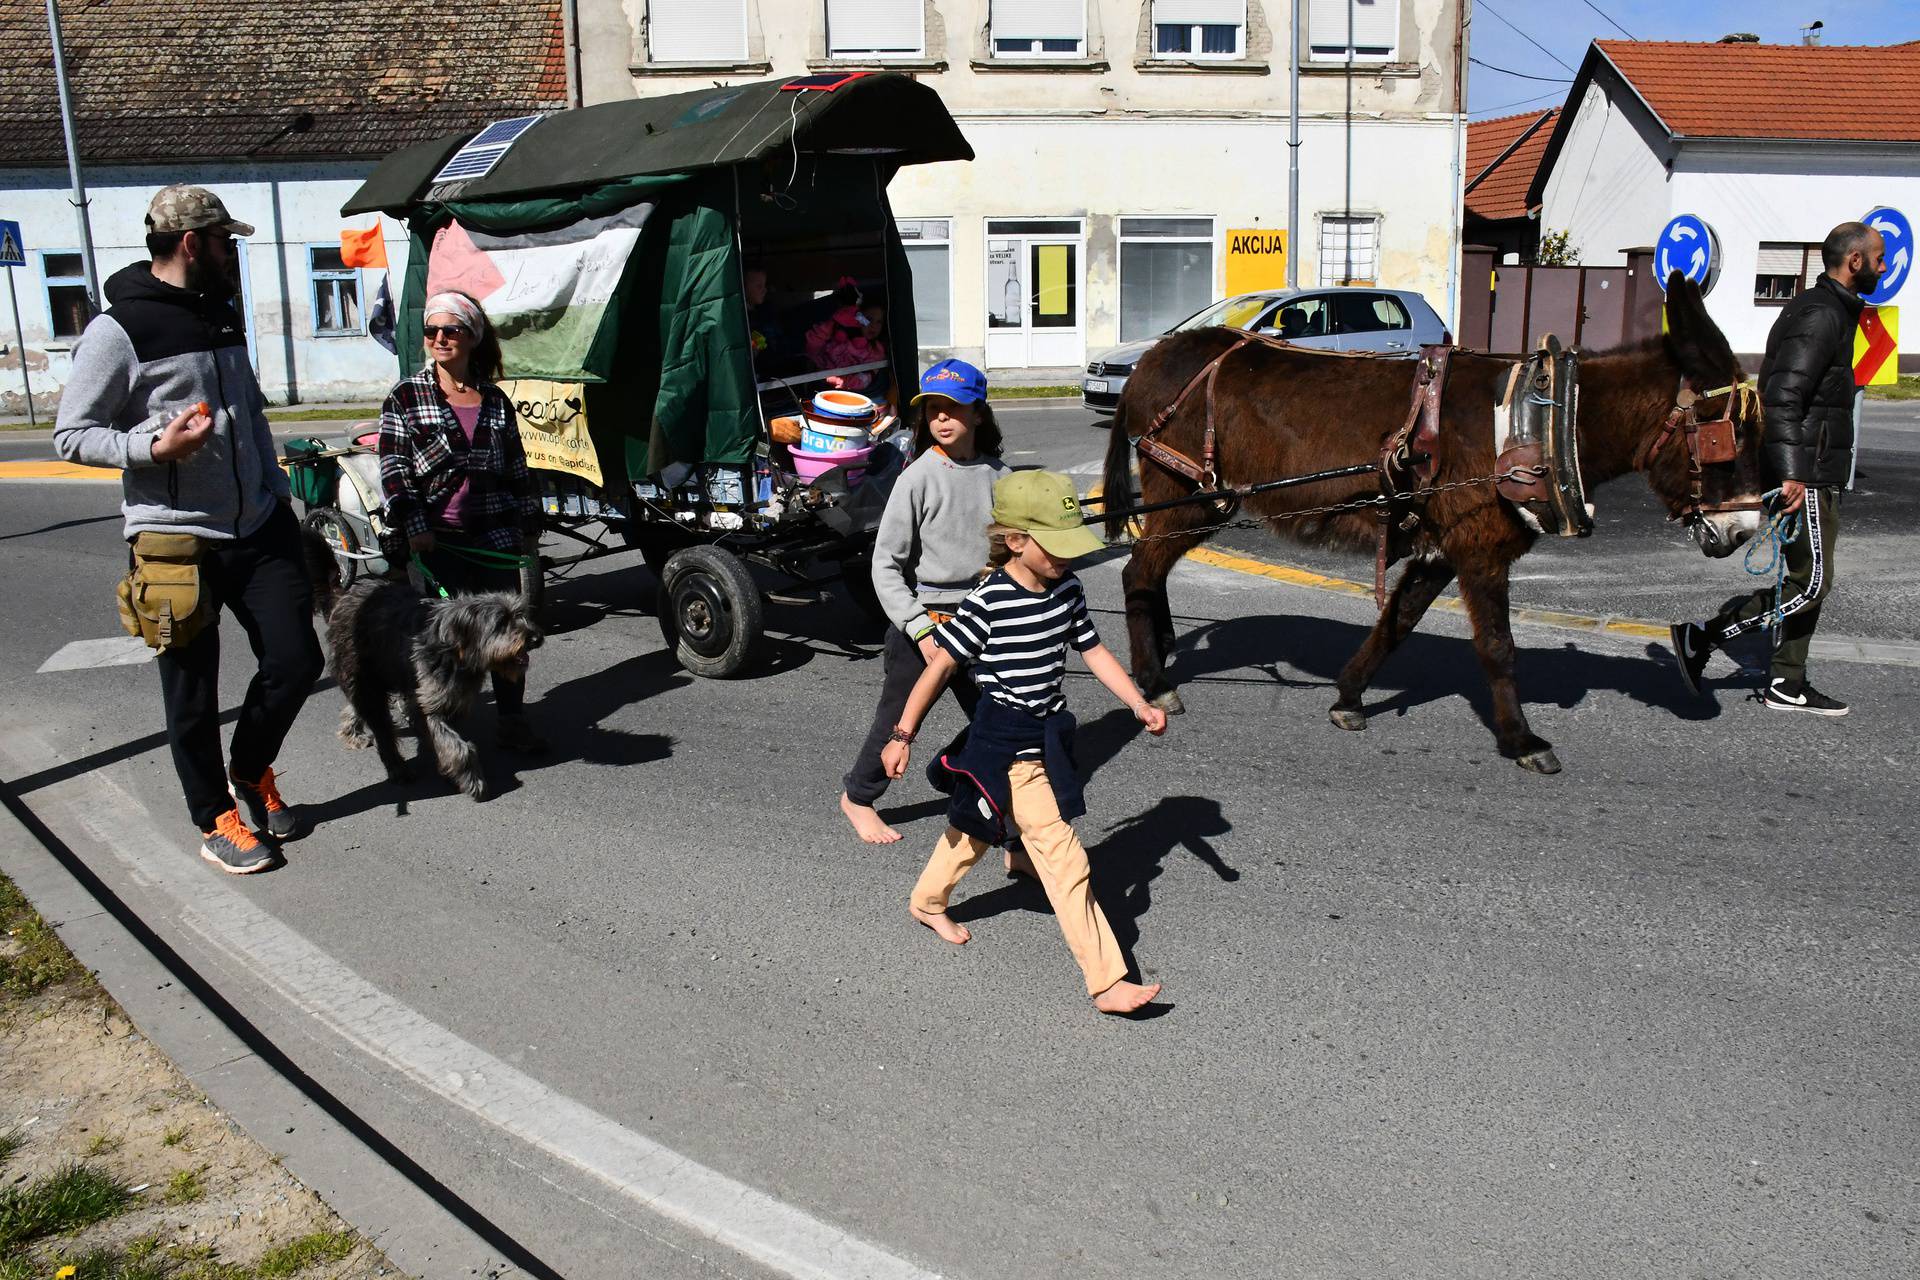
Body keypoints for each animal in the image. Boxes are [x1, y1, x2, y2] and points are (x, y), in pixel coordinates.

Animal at [326, 583, 541, 802]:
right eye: (501, 621)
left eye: (521, 614)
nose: (536, 638)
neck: (455, 650)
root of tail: (346, 596)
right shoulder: (426, 705)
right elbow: (455, 745)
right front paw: (472, 780)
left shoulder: (451, 698)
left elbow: (446, 740)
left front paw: (450, 769)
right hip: (362, 674)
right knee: (380, 725)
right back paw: (397, 768)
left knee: (359, 705)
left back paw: (352, 732)